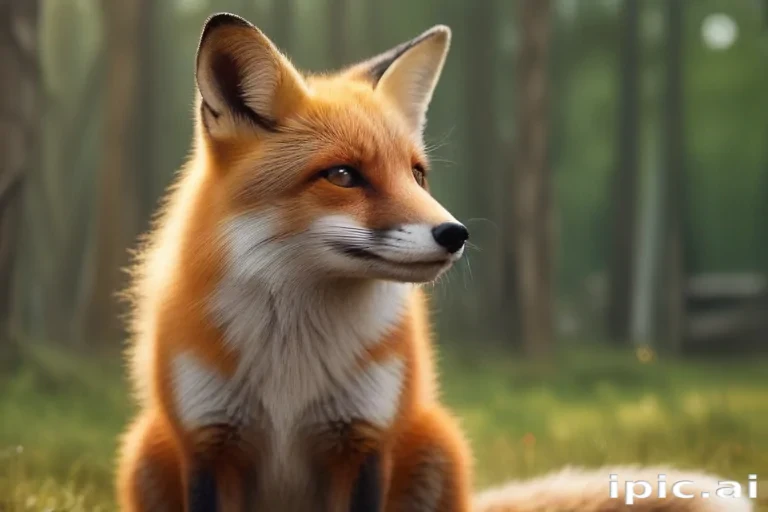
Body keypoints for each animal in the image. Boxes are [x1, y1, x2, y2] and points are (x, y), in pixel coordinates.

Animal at [116, 12, 754, 512]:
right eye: (342, 175)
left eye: (417, 175)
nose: (456, 234)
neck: (290, 364)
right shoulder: (208, 442)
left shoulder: (364, 439)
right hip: (144, 451)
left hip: (435, 440)